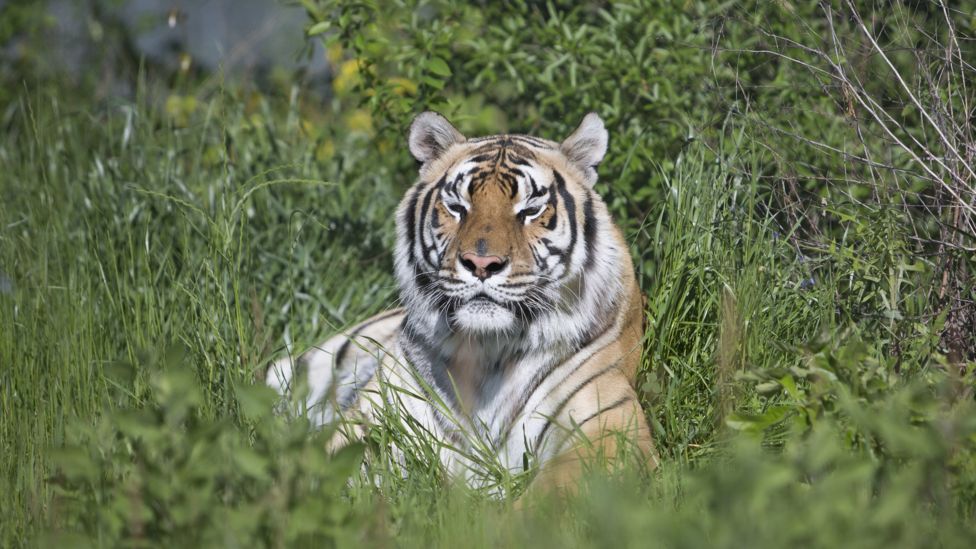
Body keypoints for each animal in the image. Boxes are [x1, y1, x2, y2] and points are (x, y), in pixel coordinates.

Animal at [266, 111, 658, 492]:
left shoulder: (606, 428)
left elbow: (553, 496)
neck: (487, 353)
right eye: (457, 207)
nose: (482, 264)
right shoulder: (375, 418)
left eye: (530, 210)